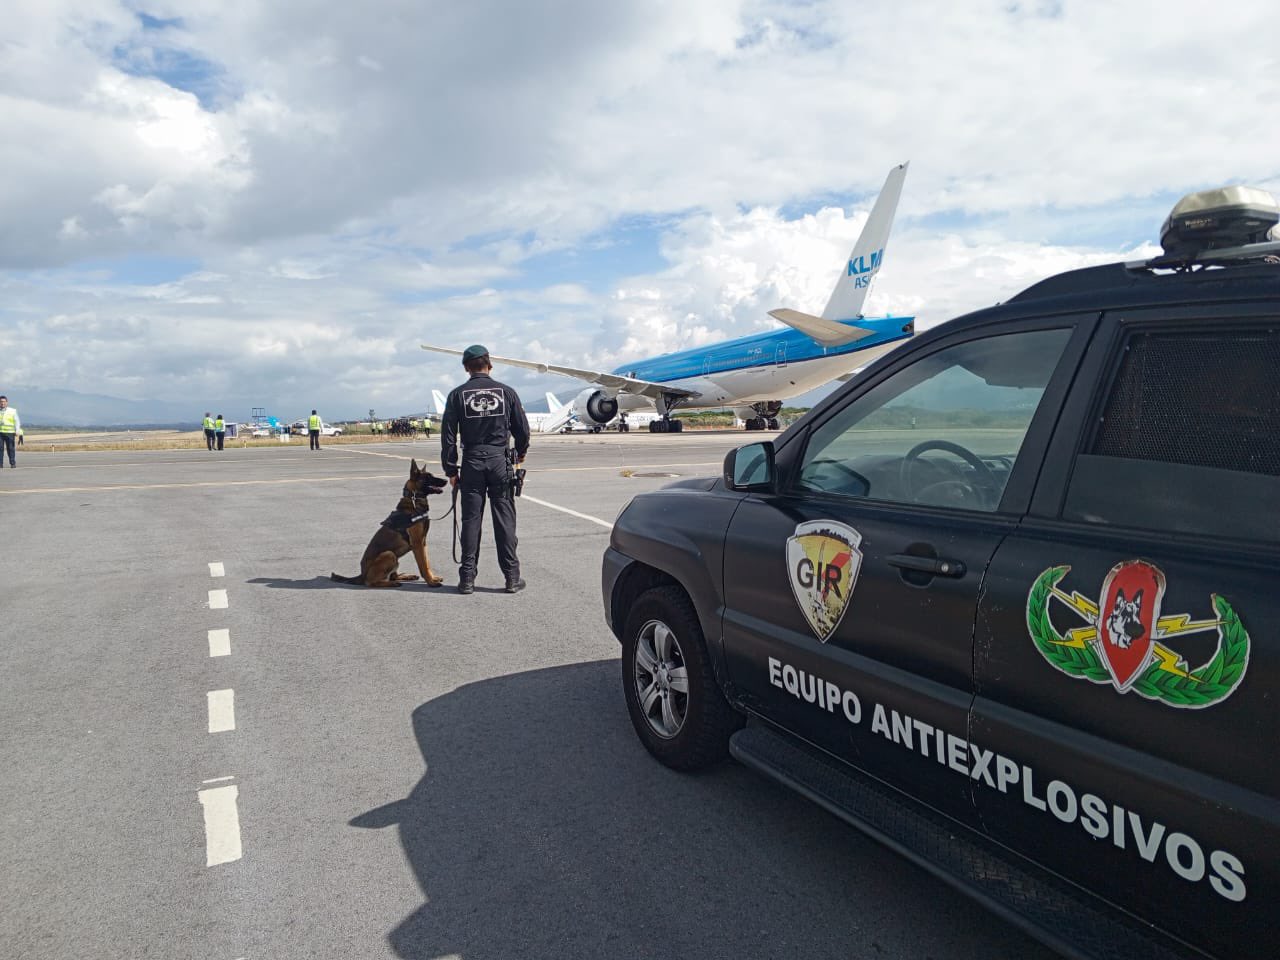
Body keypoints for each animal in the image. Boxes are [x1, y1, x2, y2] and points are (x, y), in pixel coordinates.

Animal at [330, 463, 450, 591]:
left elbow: (427, 563)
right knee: (371, 582)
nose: (446, 480)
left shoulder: (423, 543)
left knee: (392, 576)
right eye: (428, 477)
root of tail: (362, 575)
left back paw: (405, 576)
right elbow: (423, 565)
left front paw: (433, 578)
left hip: (395, 558)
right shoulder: (417, 544)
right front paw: (431, 582)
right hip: (389, 554)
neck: (413, 500)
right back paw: (392, 583)